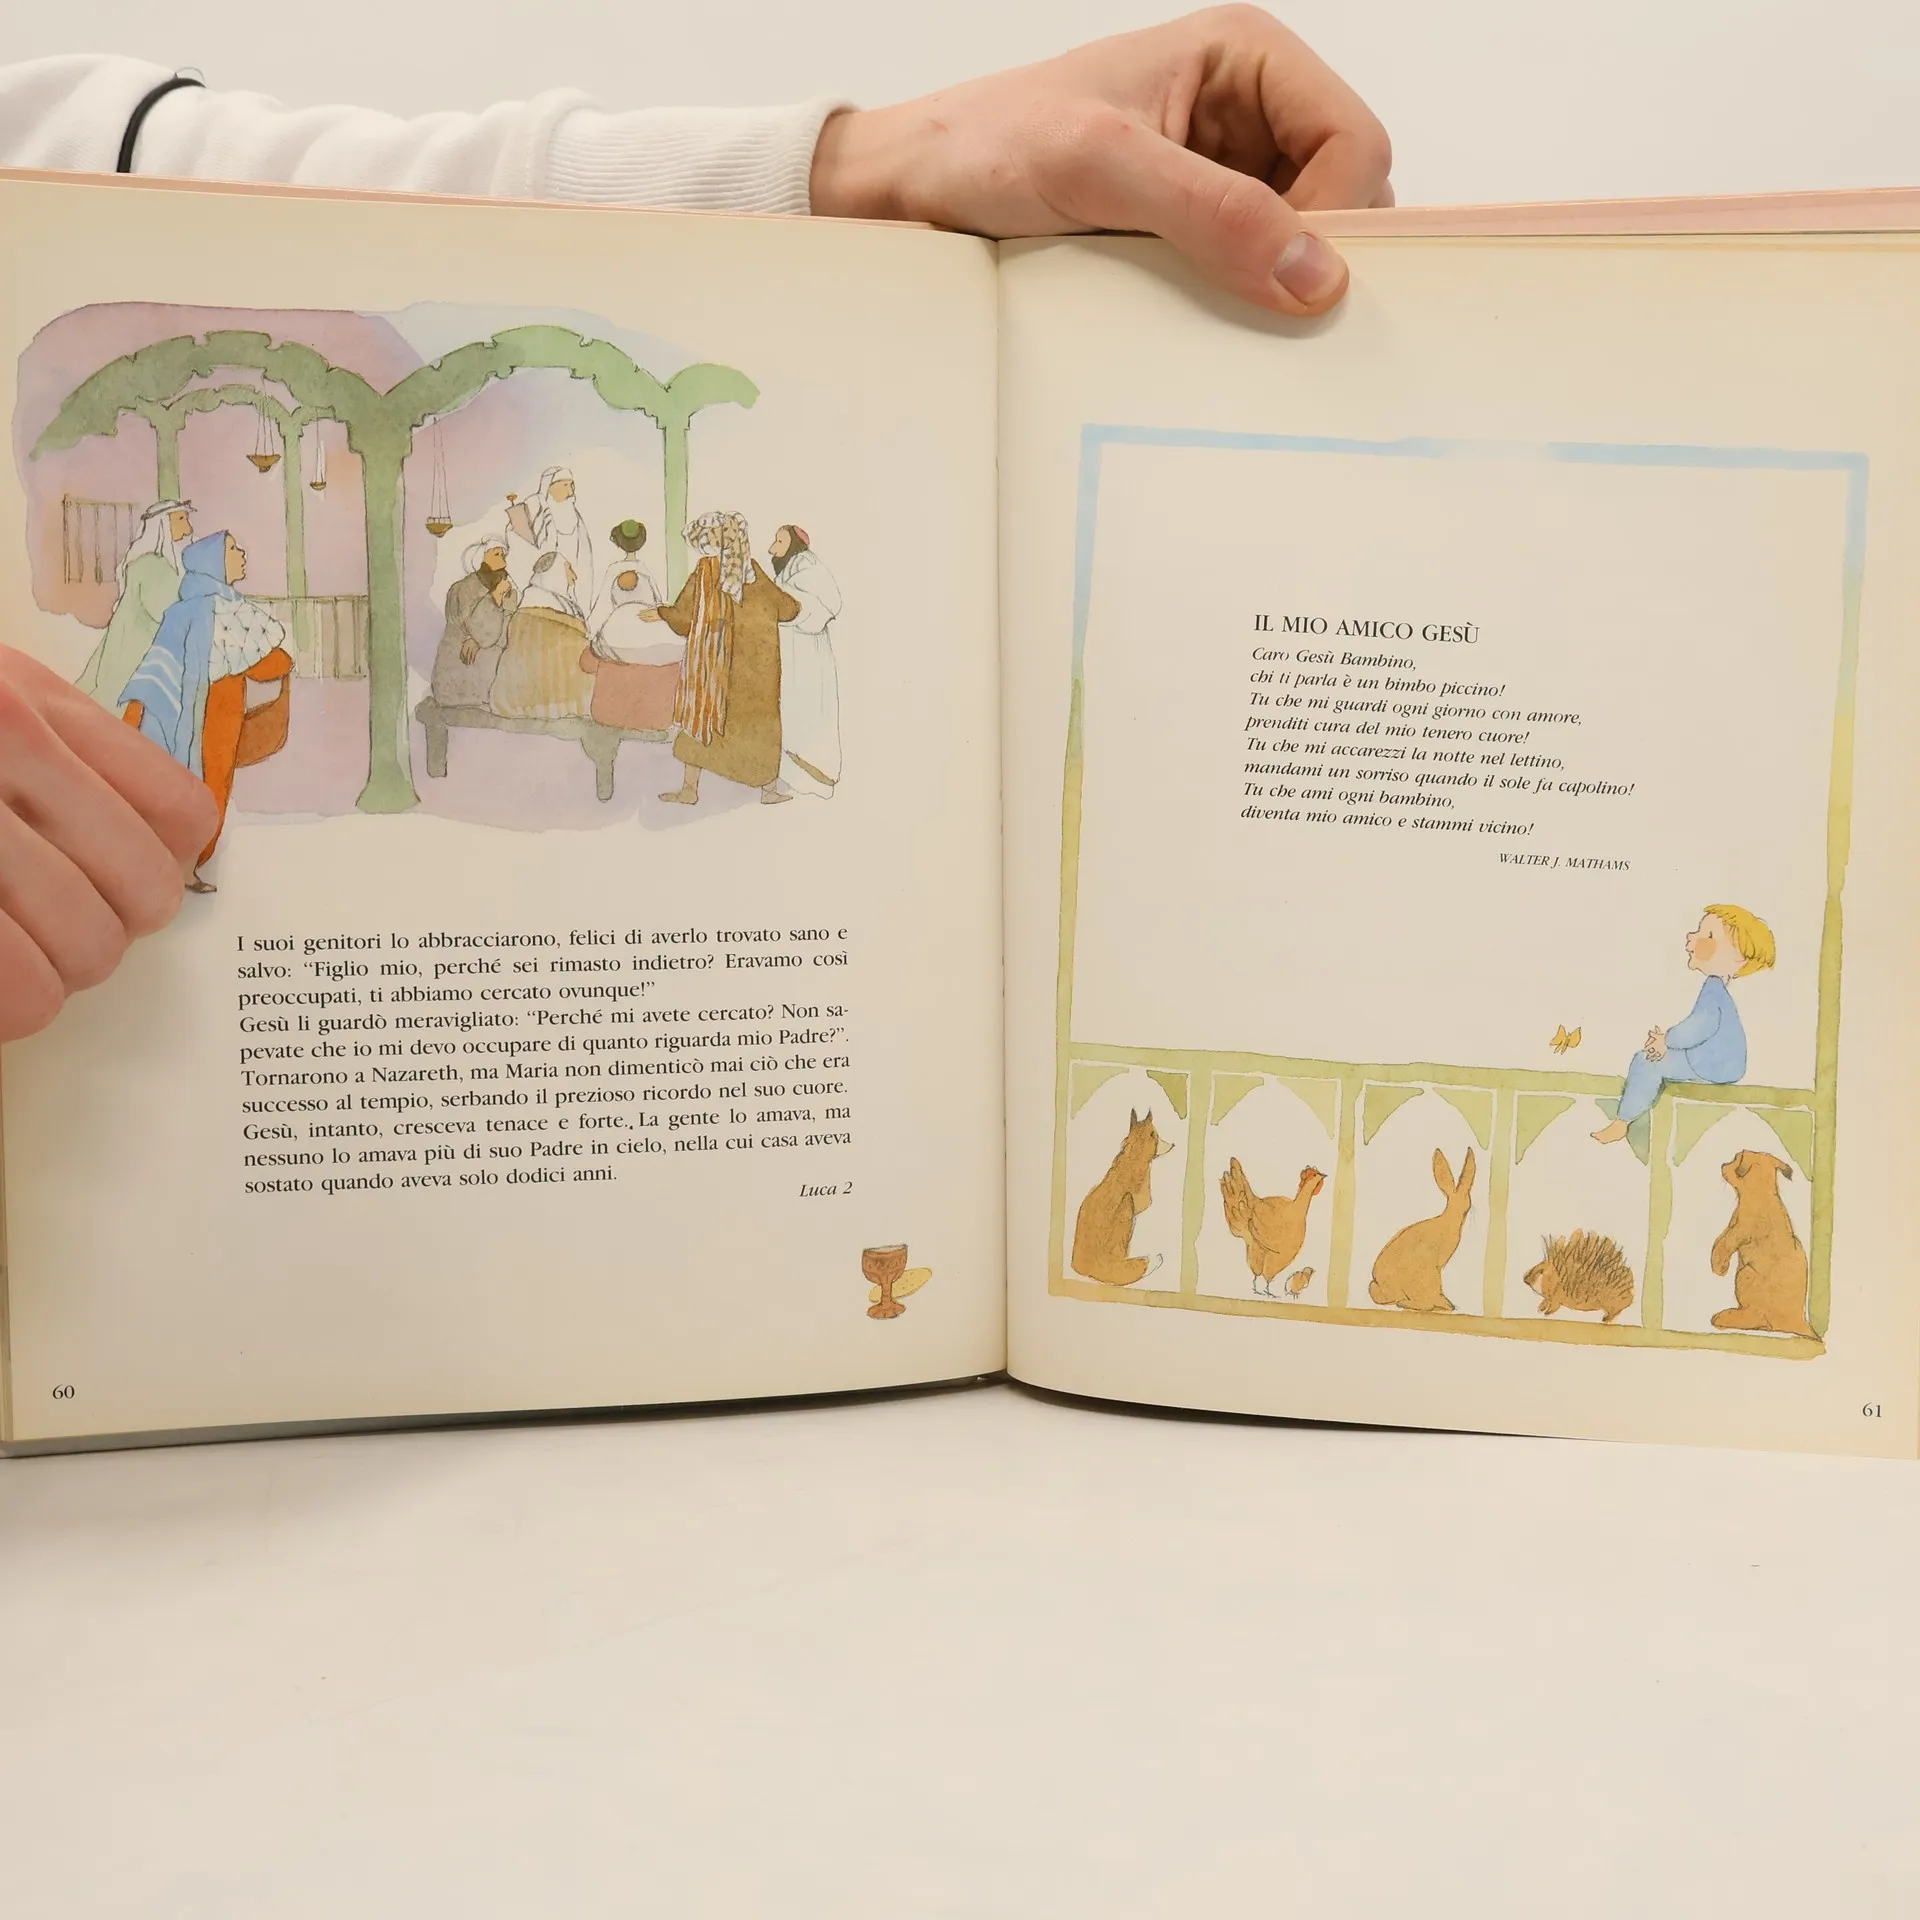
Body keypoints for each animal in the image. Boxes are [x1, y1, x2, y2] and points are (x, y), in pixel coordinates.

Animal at [1369, 1147, 1476, 1313]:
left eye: (1468, 1199)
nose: (1464, 1208)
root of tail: (1381, 1286)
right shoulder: (1434, 1267)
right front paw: (1445, 1304)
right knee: (1422, 1302)